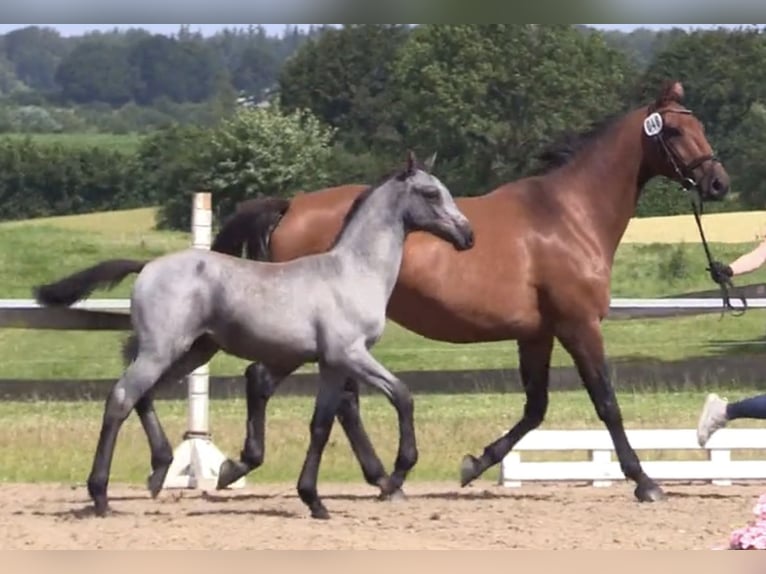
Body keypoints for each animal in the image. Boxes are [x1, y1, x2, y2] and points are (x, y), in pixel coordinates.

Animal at [34, 151, 474, 520]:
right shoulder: (350, 354)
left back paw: (159, 471)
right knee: (122, 399)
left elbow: (321, 425)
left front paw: (314, 500)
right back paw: (101, 495)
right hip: (163, 349)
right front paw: (398, 472)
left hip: (191, 352)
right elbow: (402, 395)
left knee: (143, 397)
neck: (352, 272)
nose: (467, 236)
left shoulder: (331, 365)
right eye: (431, 193)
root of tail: (148, 267)